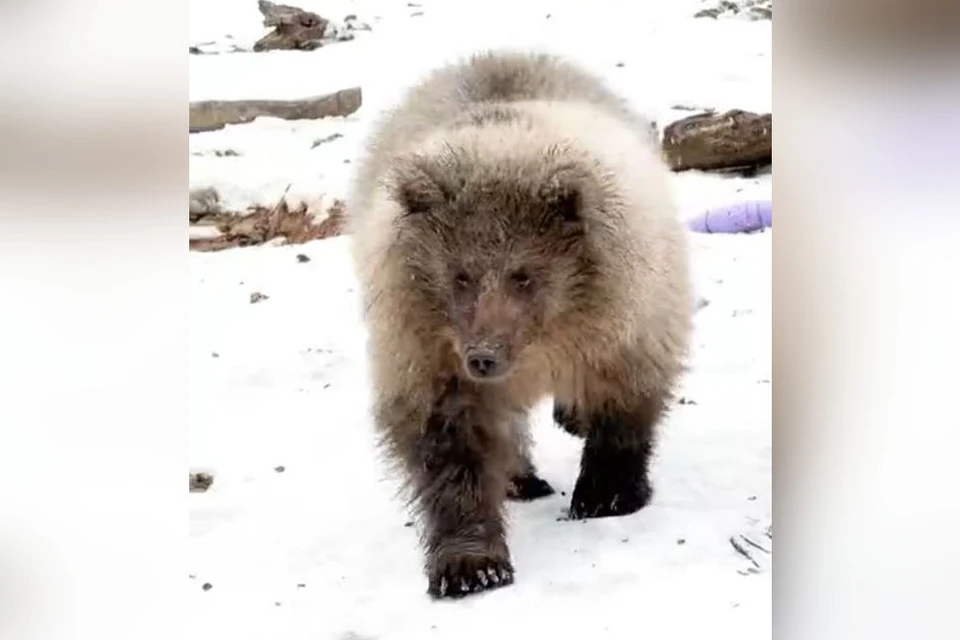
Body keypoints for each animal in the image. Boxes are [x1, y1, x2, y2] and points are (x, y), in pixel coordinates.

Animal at [348, 51, 692, 600]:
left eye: (524, 273)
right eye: (460, 274)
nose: (484, 355)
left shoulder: (625, 316)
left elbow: (624, 397)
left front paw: (606, 493)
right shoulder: (424, 345)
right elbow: (448, 442)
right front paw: (471, 563)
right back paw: (521, 477)